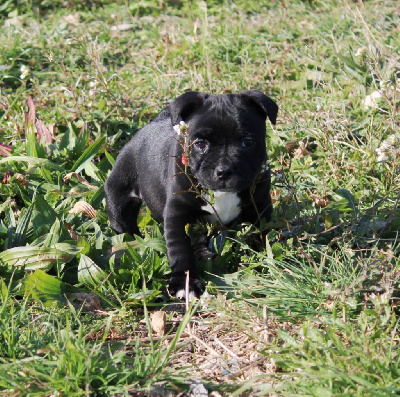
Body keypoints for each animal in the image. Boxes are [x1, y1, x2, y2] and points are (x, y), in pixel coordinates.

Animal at [104, 90, 278, 296]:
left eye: (248, 142)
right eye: (200, 144)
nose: (224, 170)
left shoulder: (260, 206)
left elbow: (262, 234)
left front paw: (267, 263)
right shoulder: (178, 214)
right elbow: (181, 250)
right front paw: (184, 283)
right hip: (119, 194)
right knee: (123, 221)